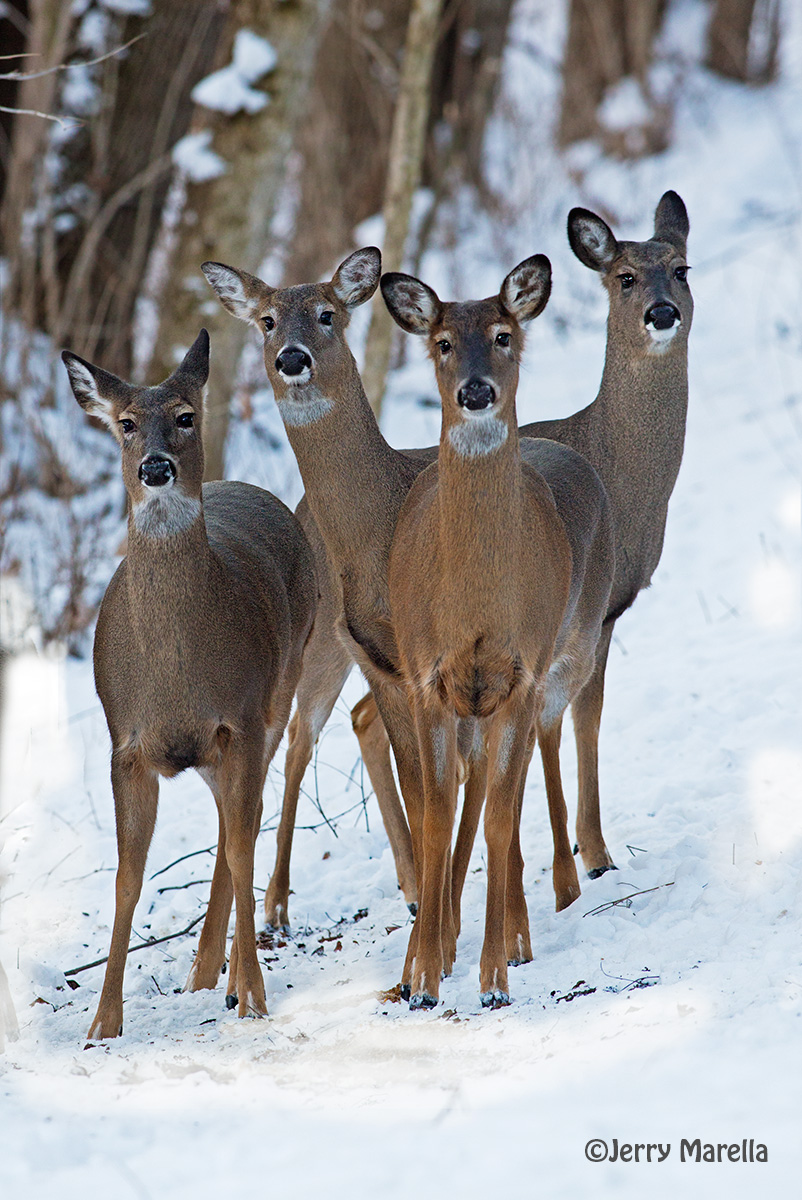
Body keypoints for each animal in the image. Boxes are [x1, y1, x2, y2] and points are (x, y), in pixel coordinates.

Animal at [62, 330, 318, 1039]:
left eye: (184, 415)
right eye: (125, 423)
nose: (154, 468)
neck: (178, 669)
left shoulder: (243, 718)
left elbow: (241, 848)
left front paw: (254, 995)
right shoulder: (126, 743)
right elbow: (127, 879)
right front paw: (102, 1025)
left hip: (282, 689)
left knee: (241, 830)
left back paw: (226, 978)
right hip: (211, 749)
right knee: (227, 828)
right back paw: (204, 973)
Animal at [347, 190, 692, 912]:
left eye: (681, 269)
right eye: (624, 277)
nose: (662, 312)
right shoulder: (596, 611)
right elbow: (584, 719)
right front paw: (593, 855)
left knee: (364, 717)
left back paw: (413, 885)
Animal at [383, 258, 614, 1007]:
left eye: (503, 334)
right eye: (443, 341)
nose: (476, 390)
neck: (476, 608)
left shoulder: (519, 676)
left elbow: (499, 820)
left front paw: (492, 980)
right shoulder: (425, 677)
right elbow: (432, 818)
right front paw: (424, 978)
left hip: (541, 670)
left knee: (505, 786)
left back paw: (518, 934)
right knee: (460, 795)